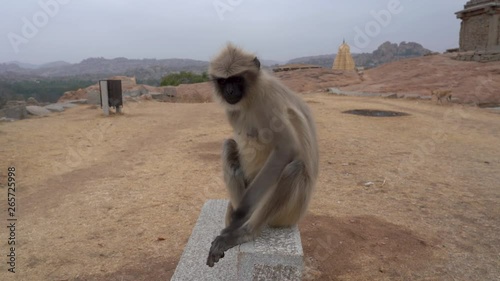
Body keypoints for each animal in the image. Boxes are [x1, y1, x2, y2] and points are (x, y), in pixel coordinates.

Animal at [205, 42, 318, 266]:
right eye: (223, 81)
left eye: (237, 79)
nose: (230, 90)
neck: (250, 97)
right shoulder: (233, 109)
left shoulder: (268, 100)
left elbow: (286, 148)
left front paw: (237, 221)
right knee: (228, 145)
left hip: (289, 214)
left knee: (294, 168)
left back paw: (245, 231)